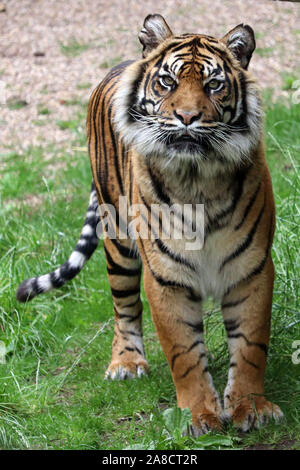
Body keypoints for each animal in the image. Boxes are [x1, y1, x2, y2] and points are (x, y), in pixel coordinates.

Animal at [15, 13, 284, 434]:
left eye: (214, 84)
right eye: (168, 82)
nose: (187, 117)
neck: (198, 179)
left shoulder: (251, 269)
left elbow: (251, 346)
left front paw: (251, 407)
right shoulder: (166, 276)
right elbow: (184, 353)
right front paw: (199, 415)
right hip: (117, 239)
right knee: (124, 305)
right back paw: (125, 363)